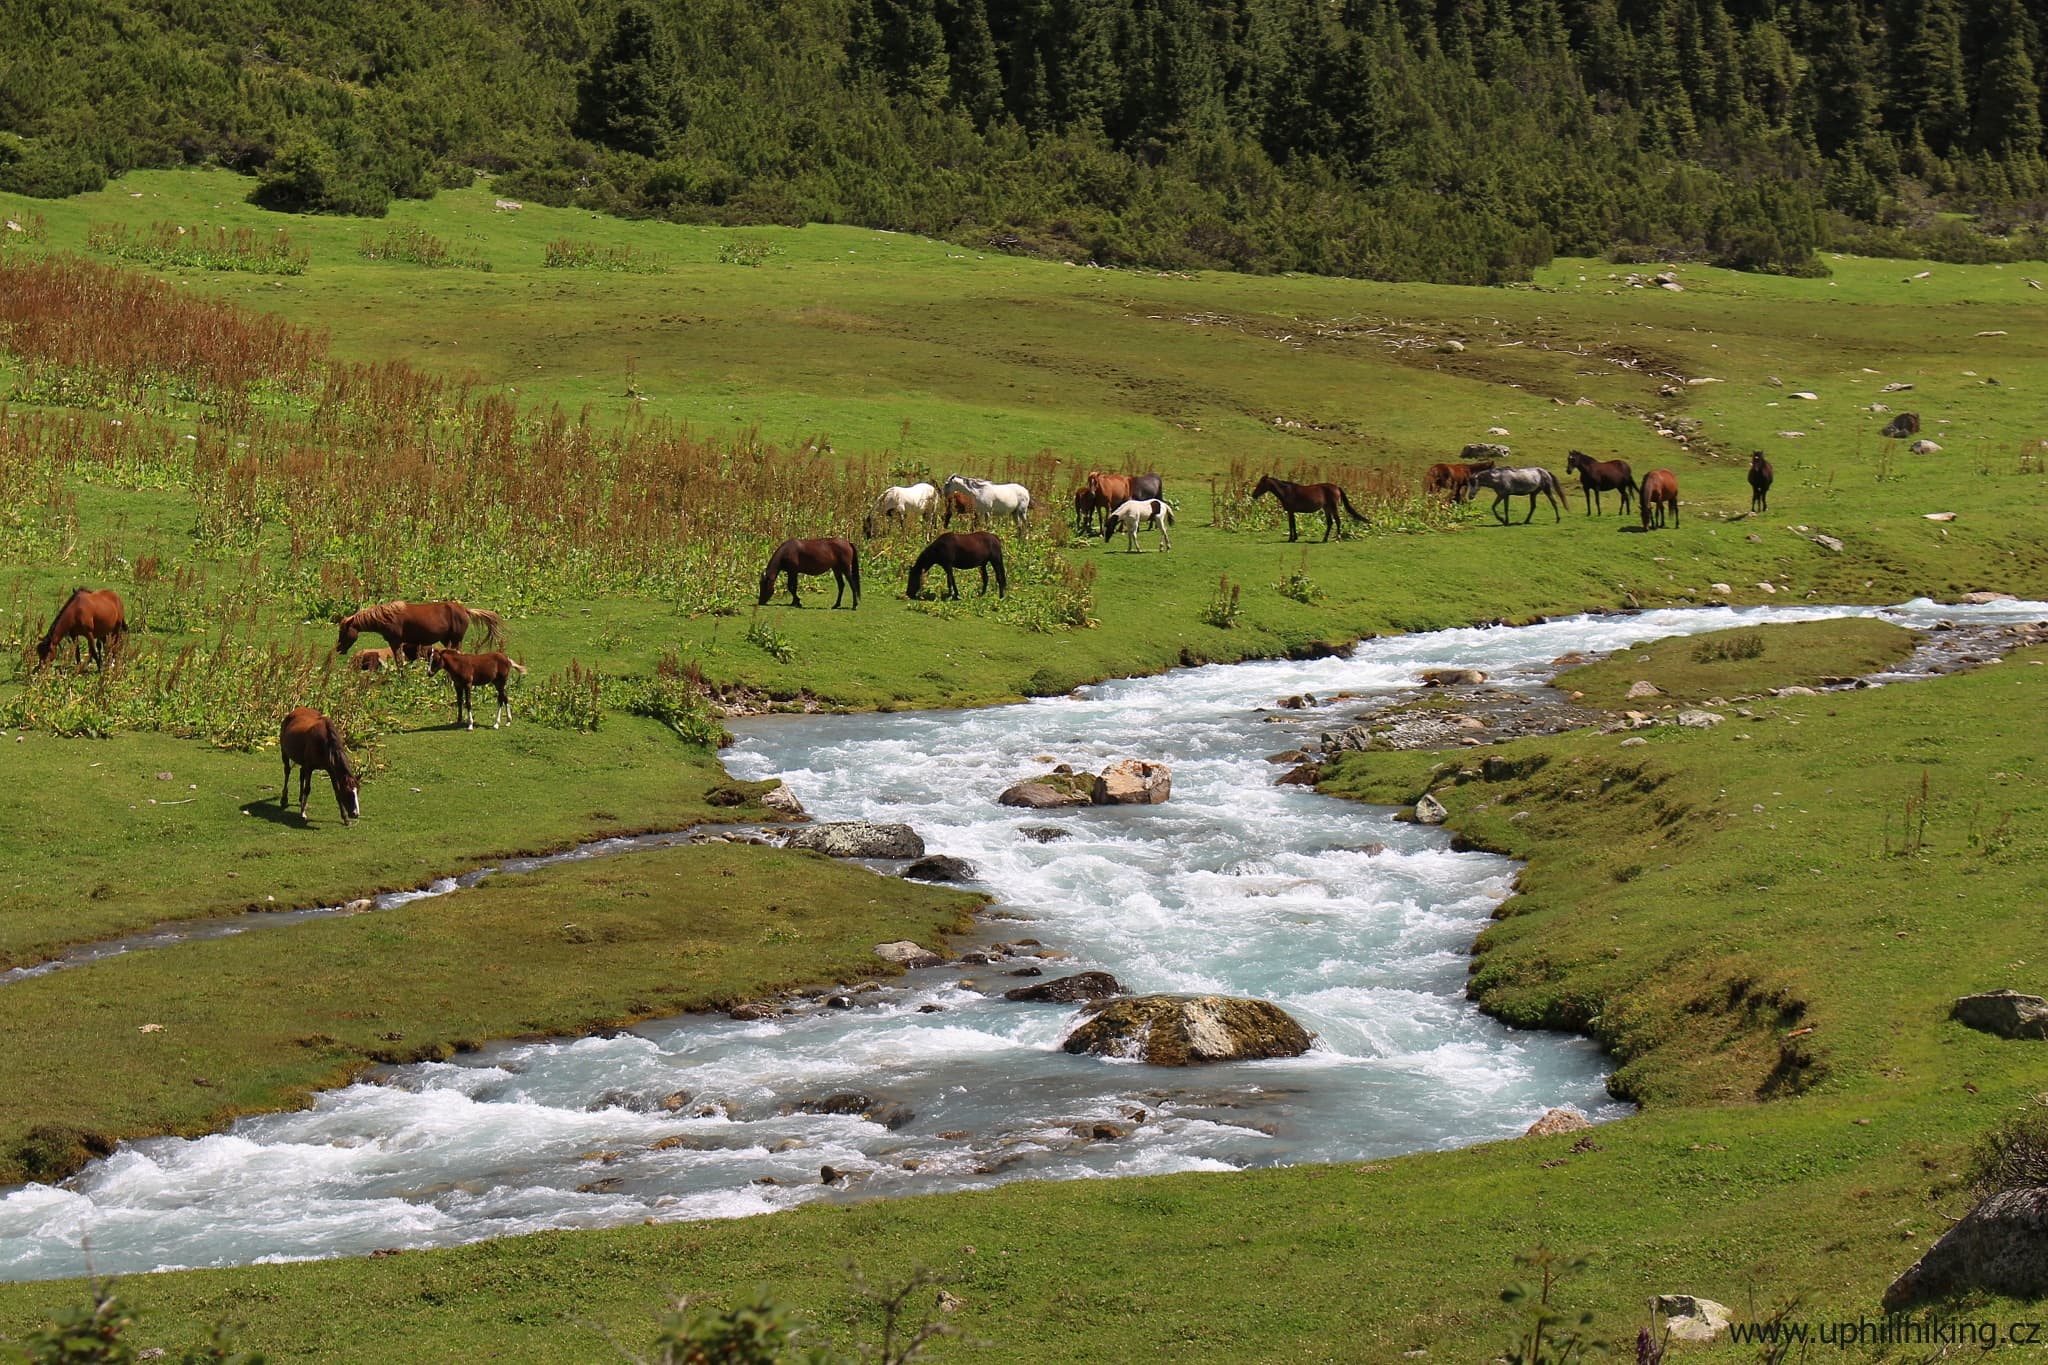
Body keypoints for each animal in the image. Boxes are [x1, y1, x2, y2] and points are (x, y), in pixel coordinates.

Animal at [335, 601, 499, 658]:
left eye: (343, 631)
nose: (338, 649)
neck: (387, 616)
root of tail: (464, 609)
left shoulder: (395, 642)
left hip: (456, 639)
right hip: (447, 640)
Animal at [1245, 474, 1376, 544]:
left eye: (1261, 484)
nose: (1253, 495)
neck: (1287, 491)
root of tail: (1336, 487)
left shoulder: (1291, 511)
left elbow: (1291, 525)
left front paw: (1291, 539)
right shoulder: (1291, 512)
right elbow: (1292, 524)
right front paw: (1293, 538)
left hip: (1333, 507)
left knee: (1338, 521)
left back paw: (1338, 538)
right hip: (1326, 508)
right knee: (1330, 522)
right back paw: (1324, 539)